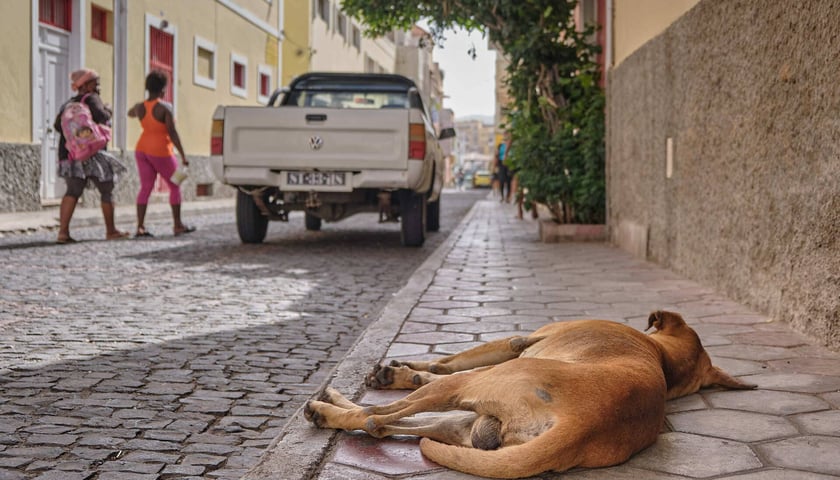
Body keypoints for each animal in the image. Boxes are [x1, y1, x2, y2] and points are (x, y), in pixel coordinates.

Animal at [306, 310, 756, 478]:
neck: (662, 356)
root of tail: (581, 425)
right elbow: (436, 366)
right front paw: (399, 371)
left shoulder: (515, 343)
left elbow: (445, 362)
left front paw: (398, 371)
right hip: (465, 425)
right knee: (390, 424)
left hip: (477, 384)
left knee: (375, 419)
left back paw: (326, 408)